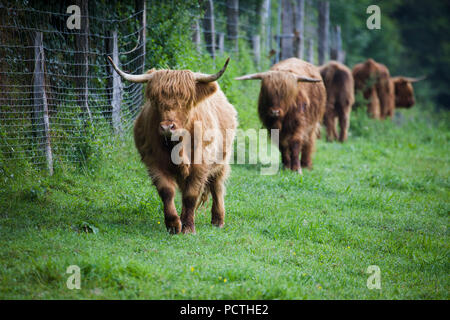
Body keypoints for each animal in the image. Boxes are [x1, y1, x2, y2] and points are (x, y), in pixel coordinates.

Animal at [107, 56, 237, 234]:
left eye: (186, 101)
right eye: (156, 101)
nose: (167, 127)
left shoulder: (200, 164)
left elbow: (191, 195)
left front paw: (188, 227)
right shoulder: (154, 162)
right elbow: (167, 191)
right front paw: (174, 225)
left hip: (221, 161)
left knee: (217, 186)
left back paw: (218, 220)